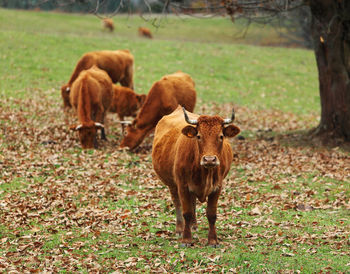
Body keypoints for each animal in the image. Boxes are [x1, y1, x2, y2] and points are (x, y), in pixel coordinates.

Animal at [152, 106, 241, 245]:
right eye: (198, 136)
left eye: (221, 136)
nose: (209, 159)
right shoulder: (182, 186)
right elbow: (186, 212)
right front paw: (186, 239)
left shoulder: (217, 187)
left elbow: (211, 214)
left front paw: (213, 240)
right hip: (172, 184)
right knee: (177, 203)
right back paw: (179, 228)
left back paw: (193, 225)